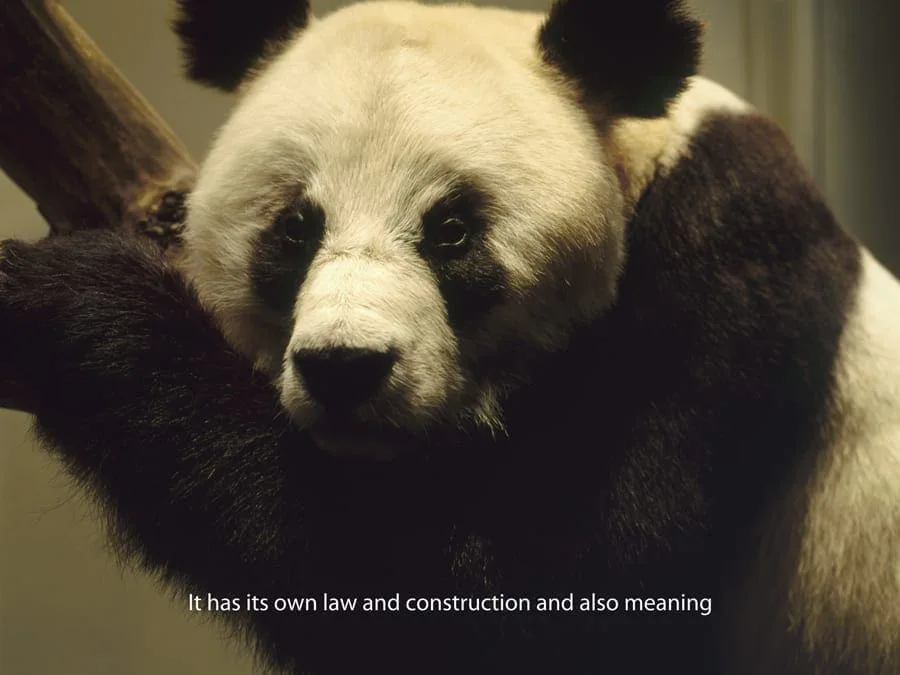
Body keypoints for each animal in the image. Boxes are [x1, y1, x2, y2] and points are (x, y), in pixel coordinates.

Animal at [1, 0, 899, 673]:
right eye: (294, 228)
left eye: (453, 231)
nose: (346, 368)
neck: (646, 156)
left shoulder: (728, 276)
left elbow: (544, 608)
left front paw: (71, 297)